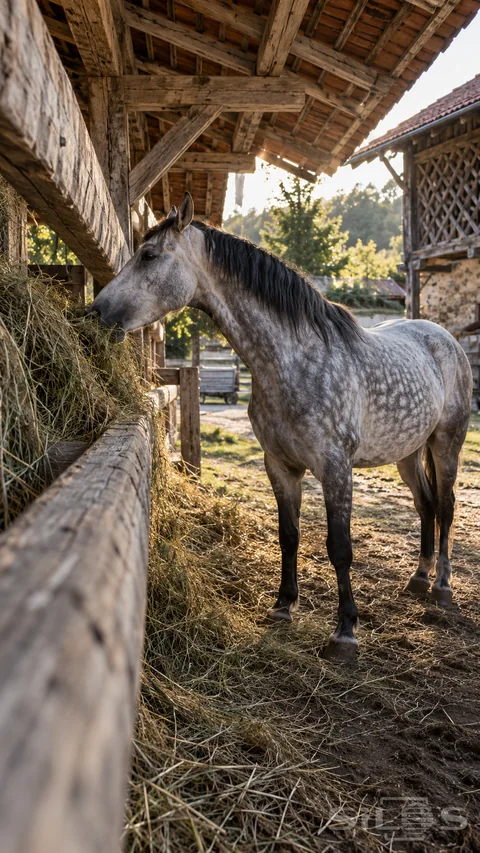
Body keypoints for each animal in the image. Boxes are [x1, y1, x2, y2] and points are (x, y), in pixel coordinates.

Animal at [91, 193, 473, 662]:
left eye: (148, 255)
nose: (96, 311)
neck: (293, 360)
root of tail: (443, 337)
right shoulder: (280, 465)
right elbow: (288, 535)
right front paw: (282, 606)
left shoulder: (335, 468)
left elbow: (339, 547)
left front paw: (345, 632)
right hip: (408, 452)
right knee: (425, 504)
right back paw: (418, 579)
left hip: (446, 443)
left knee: (446, 507)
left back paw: (441, 587)